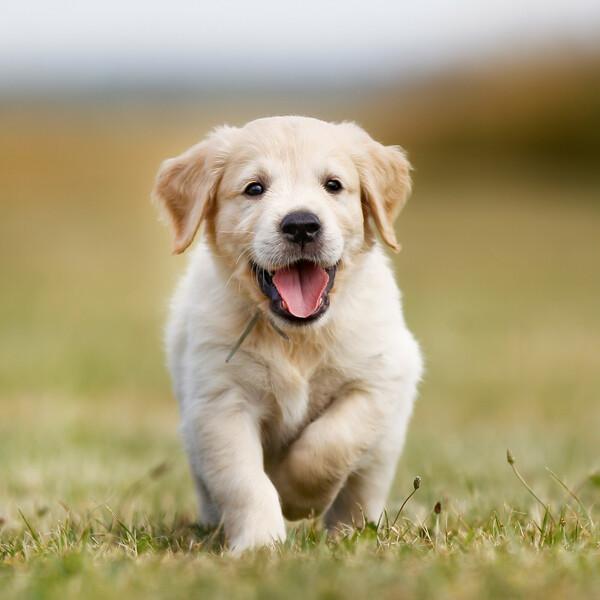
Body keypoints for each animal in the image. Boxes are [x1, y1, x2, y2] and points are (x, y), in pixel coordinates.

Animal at [152, 116, 424, 552]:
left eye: (333, 185)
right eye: (254, 188)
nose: (301, 225)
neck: (298, 337)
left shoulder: (378, 381)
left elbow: (331, 442)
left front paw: (297, 497)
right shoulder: (220, 404)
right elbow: (245, 481)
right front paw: (260, 544)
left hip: (385, 445)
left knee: (362, 488)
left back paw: (352, 532)